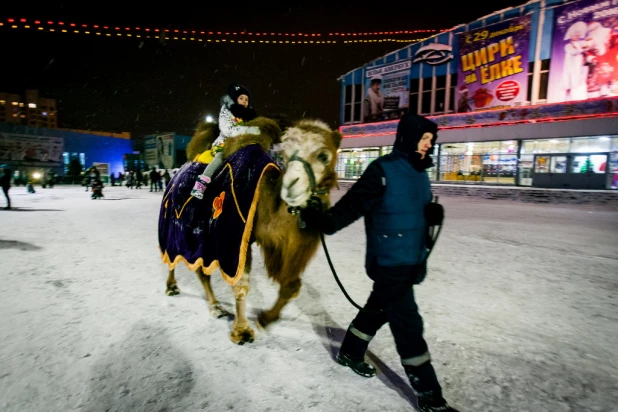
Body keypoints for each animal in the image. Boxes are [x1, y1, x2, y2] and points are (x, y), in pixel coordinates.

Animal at [159, 116, 342, 344]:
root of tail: (174, 177)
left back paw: (216, 307)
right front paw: (242, 331)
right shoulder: (234, 239)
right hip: (172, 224)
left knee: (202, 271)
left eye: (324, 155)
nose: (291, 187)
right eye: (285, 154)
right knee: (170, 255)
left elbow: (291, 285)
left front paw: (264, 319)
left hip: (201, 237)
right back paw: (172, 287)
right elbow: (241, 284)